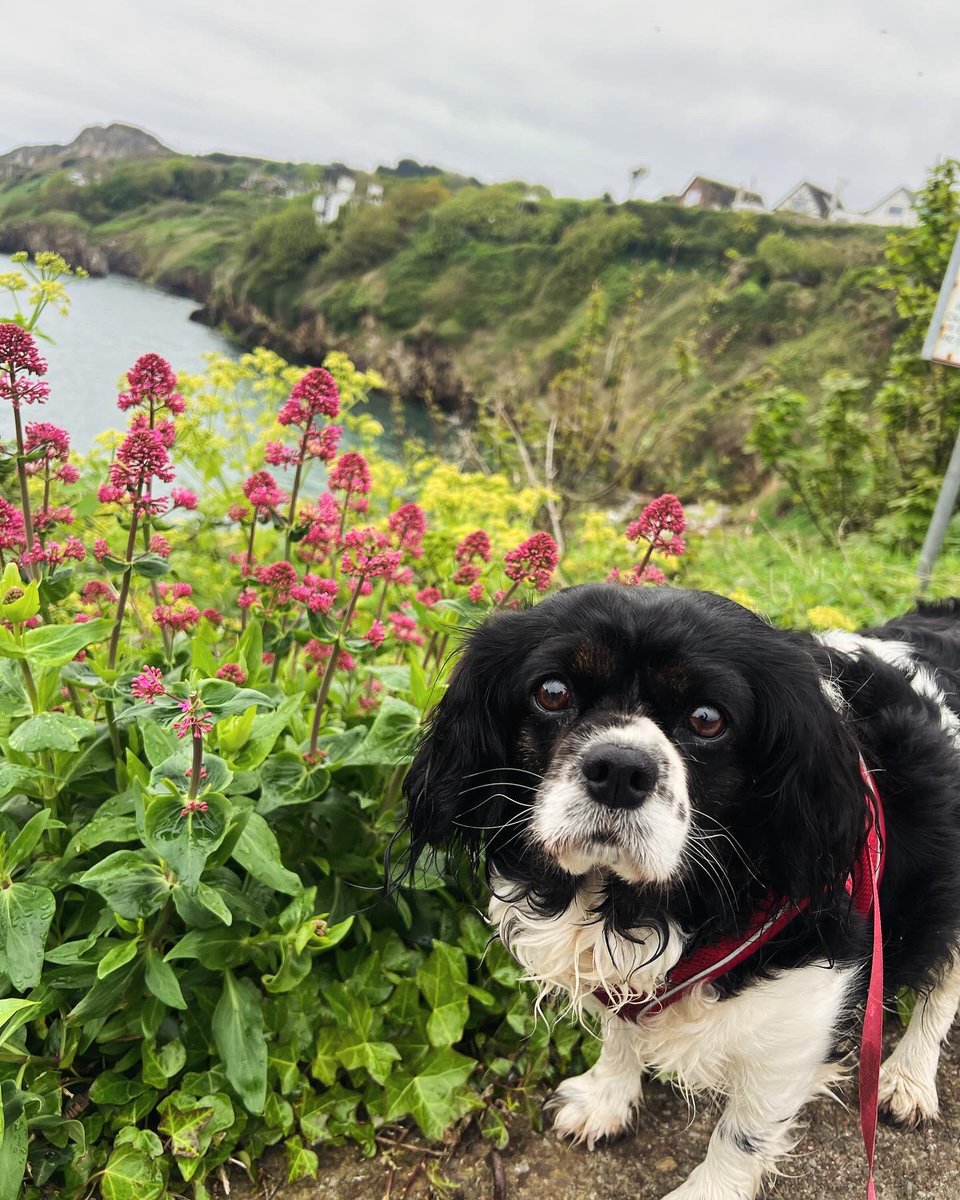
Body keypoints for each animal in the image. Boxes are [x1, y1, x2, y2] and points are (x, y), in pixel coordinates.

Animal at [400, 585, 960, 1195]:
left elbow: (742, 1133)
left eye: (708, 719)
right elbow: (619, 1029)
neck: (636, 903)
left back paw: (907, 1077)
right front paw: (606, 1098)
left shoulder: (796, 1031)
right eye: (552, 692)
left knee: (943, 987)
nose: (619, 768)